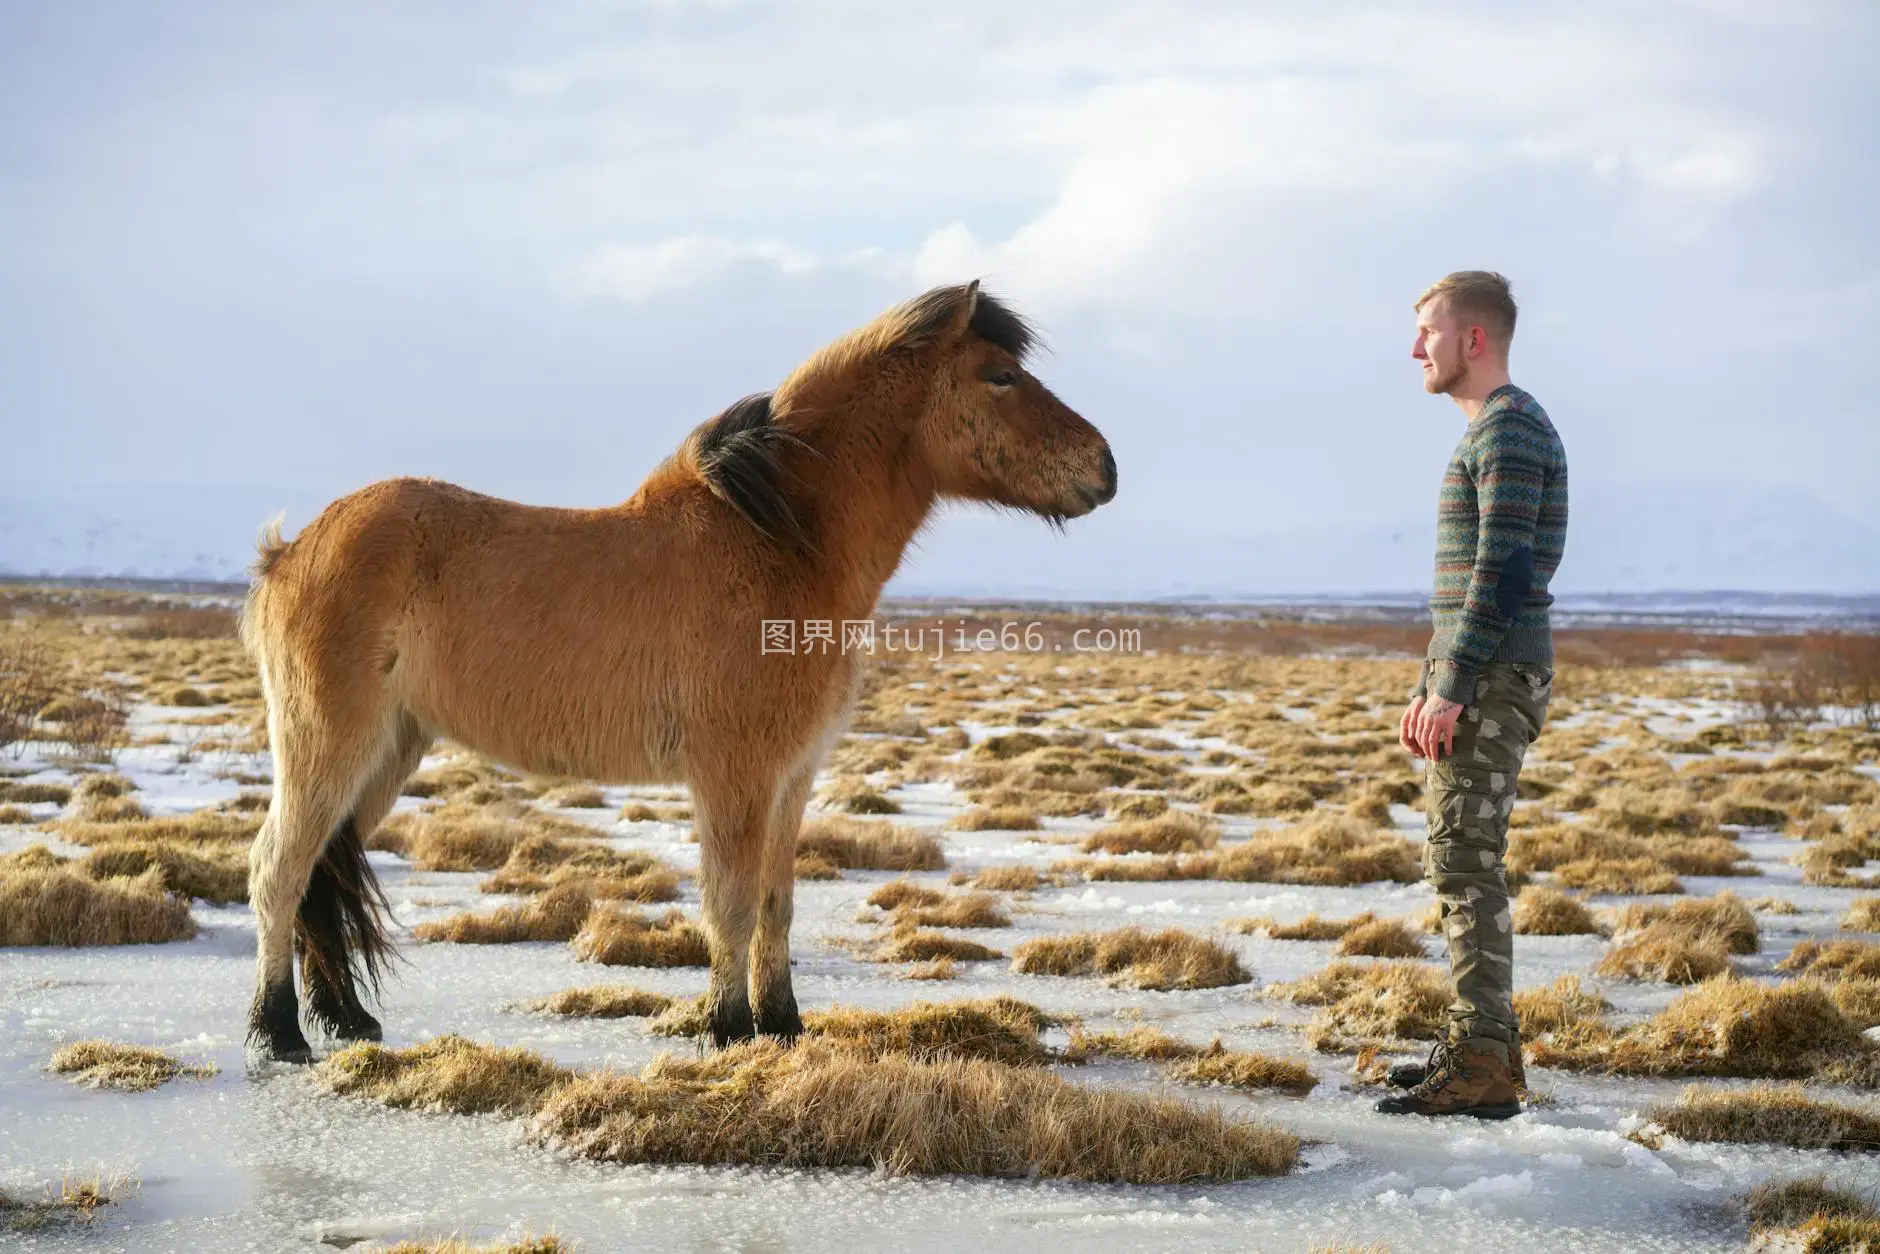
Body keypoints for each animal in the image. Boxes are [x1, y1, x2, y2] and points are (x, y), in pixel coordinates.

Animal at [236, 282, 1112, 1060]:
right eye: (1000, 375)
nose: (1105, 467)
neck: (777, 544)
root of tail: (289, 552)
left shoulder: (792, 777)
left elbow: (776, 904)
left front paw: (783, 1027)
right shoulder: (734, 775)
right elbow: (730, 905)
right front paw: (727, 1030)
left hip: (390, 751)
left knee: (320, 872)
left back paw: (348, 1021)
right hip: (329, 745)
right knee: (278, 869)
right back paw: (281, 1033)